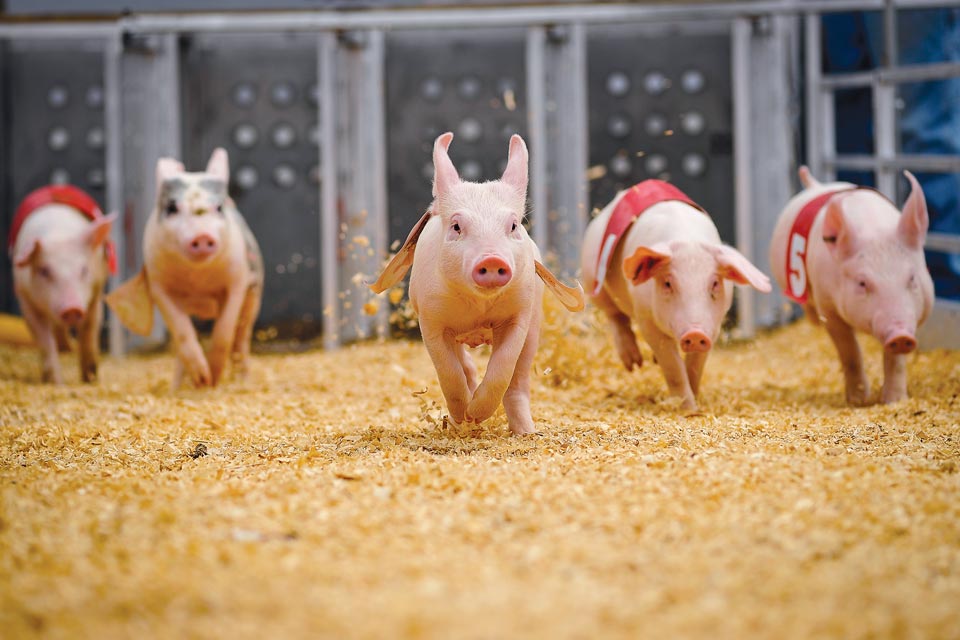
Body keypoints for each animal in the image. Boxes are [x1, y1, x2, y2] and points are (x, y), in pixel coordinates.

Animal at [9, 185, 118, 384]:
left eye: (84, 269)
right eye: (44, 270)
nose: (72, 308)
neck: (58, 233)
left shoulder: (96, 290)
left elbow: (89, 329)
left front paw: (90, 378)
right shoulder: (24, 297)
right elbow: (44, 340)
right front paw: (56, 383)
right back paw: (64, 349)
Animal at [107, 149, 264, 390]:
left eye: (218, 208)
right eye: (172, 208)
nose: (203, 236)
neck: (197, 279)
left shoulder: (238, 280)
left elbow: (224, 331)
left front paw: (214, 378)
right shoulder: (158, 286)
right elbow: (182, 332)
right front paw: (202, 379)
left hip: (253, 298)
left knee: (241, 340)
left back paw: (242, 382)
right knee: (181, 347)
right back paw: (179, 387)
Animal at [372, 134, 584, 436]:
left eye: (513, 225)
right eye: (457, 226)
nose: (492, 259)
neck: (478, 309)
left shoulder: (520, 314)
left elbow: (502, 367)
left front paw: (478, 414)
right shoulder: (431, 319)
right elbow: (448, 371)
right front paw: (465, 415)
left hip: (534, 328)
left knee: (519, 380)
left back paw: (526, 432)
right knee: (465, 365)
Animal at [576, 180, 772, 410]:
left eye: (715, 283)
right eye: (668, 283)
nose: (695, 333)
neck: (687, 241)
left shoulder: (713, 325)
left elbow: (695, 365)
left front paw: (695, 403)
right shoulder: (646, 318)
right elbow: (672, 366)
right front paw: (687, 409)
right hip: (592, 276)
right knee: (615, 315)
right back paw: (634, 363)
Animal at [768, 166, 932, 404]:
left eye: (912, 278)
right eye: (862, 283)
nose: (900, 335)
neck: (873, 228)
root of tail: (815, 184)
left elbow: (896, 361)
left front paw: (895, 400)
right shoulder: (828, 306)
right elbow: (850, 352)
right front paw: (859, 401)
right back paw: (813, 321)